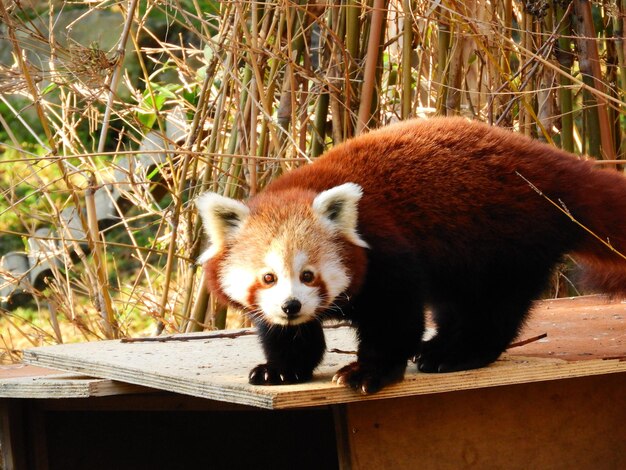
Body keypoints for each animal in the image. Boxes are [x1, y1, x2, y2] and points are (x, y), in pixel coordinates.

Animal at [194, 117, 624, 392]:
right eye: (268, 277)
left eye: (308, 275)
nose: (291, 306)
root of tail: (553, 164)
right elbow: (285, 335)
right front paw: (282, 369)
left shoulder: (387, 253)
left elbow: (394, 320)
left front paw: (367, 371)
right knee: (457, 303)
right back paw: (439, 345)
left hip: (505, 239)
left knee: (494, 307)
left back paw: (459, 353)